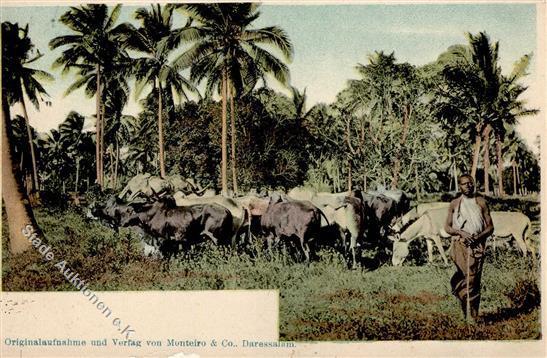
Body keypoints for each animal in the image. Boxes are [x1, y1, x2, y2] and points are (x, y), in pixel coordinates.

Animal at [392, 207, 536, 266]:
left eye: (395, 249)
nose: (394, 265)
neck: (425, 221)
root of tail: (527, 218)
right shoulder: (428, 238)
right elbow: (430, 251)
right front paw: (430, 263)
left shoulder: (436, 236)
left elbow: (440, 250)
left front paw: (446, 263)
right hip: (523, 235)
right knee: (531, 247)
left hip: (517, 235)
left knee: (524, 248)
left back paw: (523, 262)